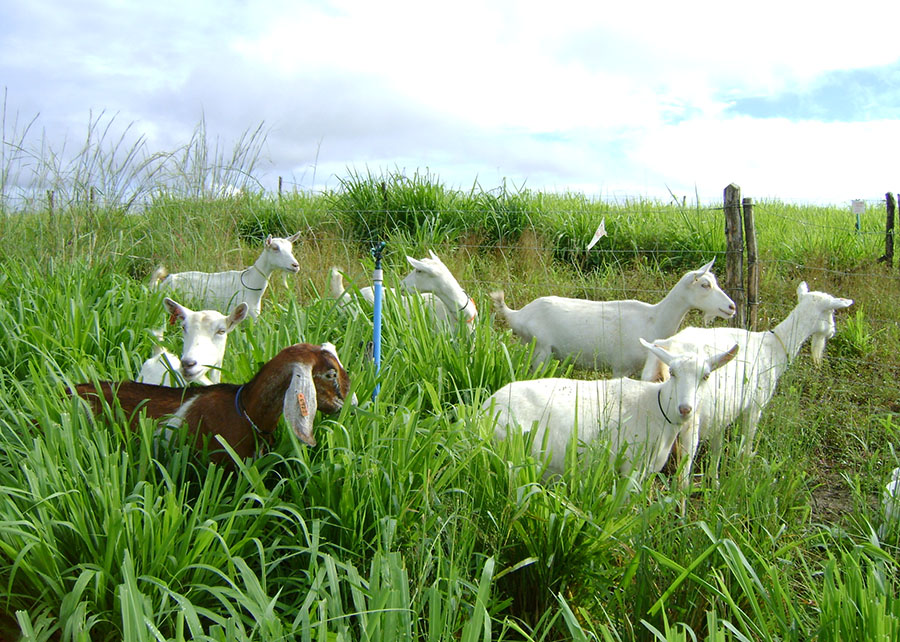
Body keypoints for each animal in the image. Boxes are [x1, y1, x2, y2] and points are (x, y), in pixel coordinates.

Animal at [482, 336, 736, 484]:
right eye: (672, 373)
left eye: (706, 376)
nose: (685, 409)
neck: (654, 407)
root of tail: (484, 409)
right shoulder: (631, 468)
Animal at [488, 258, 736, 376]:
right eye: (705, 284)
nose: (731, 307)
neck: (653, 319)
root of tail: (517, 314)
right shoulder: (620, 367)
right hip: (541, 350)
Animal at [640, 280, 852, 480]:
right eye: (832, 311)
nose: (833, 331)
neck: (773, 347)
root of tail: (665, 350)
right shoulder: (755, 405)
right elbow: (747, 443)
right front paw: (744, 472)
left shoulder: (722, 411)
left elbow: (717, 448)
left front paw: (714, 480)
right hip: (688, 421)